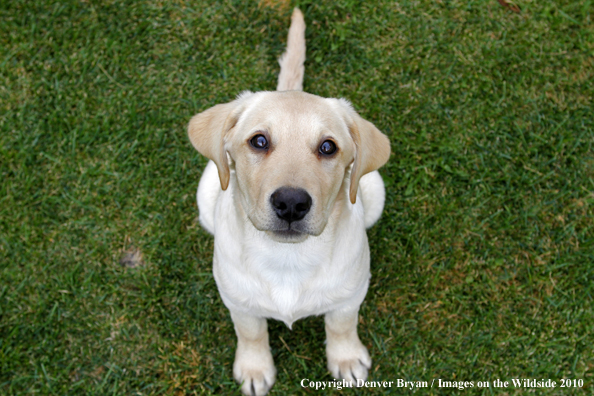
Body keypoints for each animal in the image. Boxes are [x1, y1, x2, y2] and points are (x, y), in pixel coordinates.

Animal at [186, 6, 388, 396]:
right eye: (259, 141)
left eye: (328, 147)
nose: (291, 203)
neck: (287, 259)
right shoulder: (238, 301)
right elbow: (250, 332)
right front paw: (254, 367)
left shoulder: (350, 294)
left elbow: (342, 325)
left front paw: (346, 358)